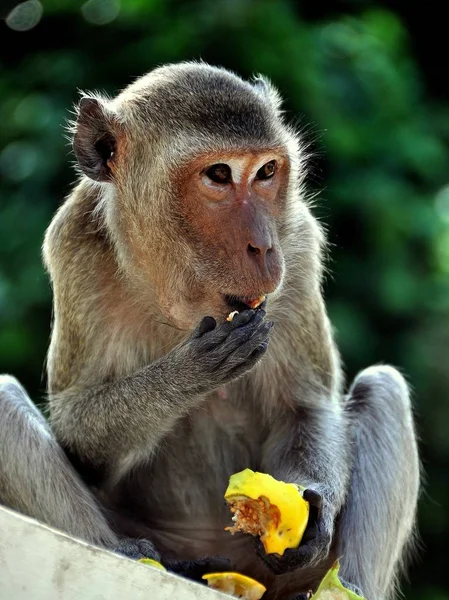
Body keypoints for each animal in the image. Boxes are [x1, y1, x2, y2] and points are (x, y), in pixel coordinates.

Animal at [0, 62, 420, 600]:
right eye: (218, 175)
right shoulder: (72, 245)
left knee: (383, 388)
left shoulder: (298, 243)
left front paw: (317, 506)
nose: (263, 248)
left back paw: (340, 589)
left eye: (266, 172)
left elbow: (303, 404)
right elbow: (79, 438)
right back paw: (139, 556)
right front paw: (187, 374)